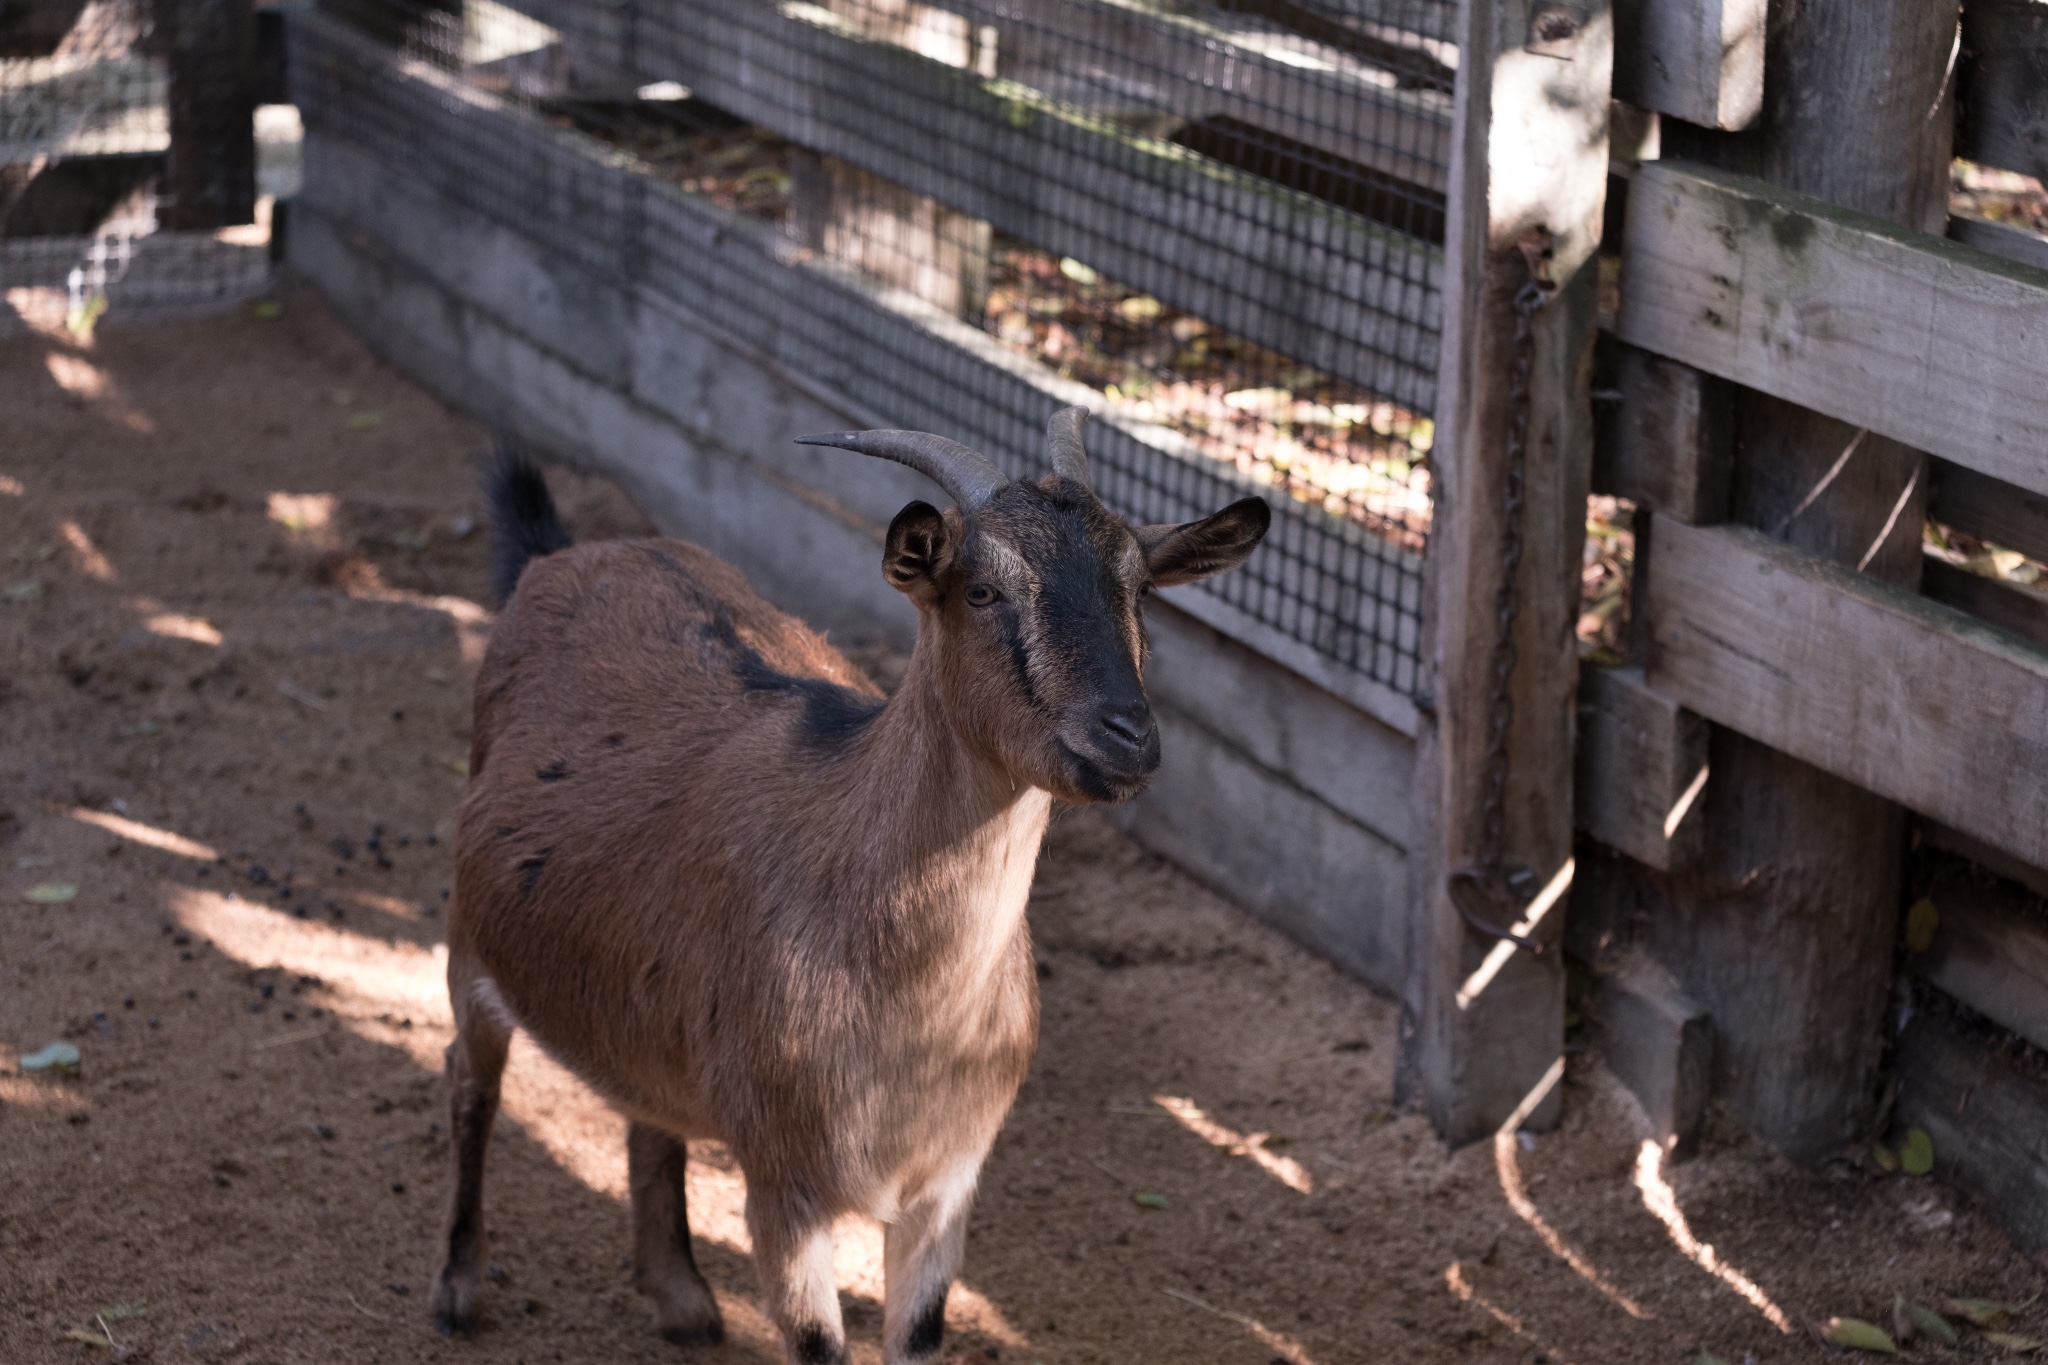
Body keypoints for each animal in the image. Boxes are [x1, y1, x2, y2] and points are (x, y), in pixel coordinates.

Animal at [432, 411, 1261, 1358]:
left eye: (1142, 590)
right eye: (982, 590)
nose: (1126, 735)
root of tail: (563, 554)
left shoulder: (945, 1186)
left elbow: (920, 1336)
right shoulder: (783, 1185)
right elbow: (818, 1343)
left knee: (648, 1110)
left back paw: (682, 1297)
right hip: (469, 943)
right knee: (471, 1080)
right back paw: (458, 1290)